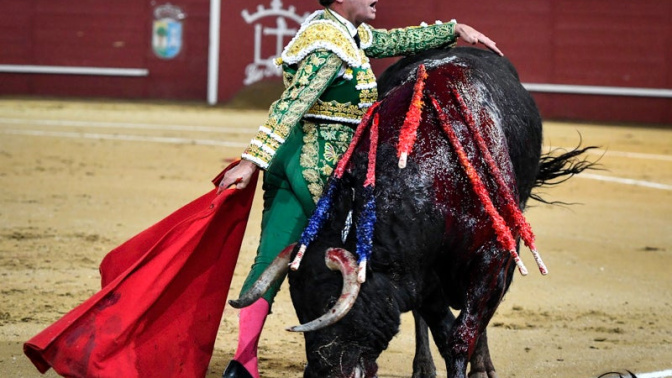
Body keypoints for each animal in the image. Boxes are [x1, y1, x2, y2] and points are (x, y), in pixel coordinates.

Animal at [230, 45, 592, 376]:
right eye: (300, 309)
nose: (320, 373)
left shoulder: (493, 260)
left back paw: (482, 366)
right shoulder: (422, 276)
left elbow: (464, 334)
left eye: (330, 304)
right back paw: (424, 368)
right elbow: (442, 332)